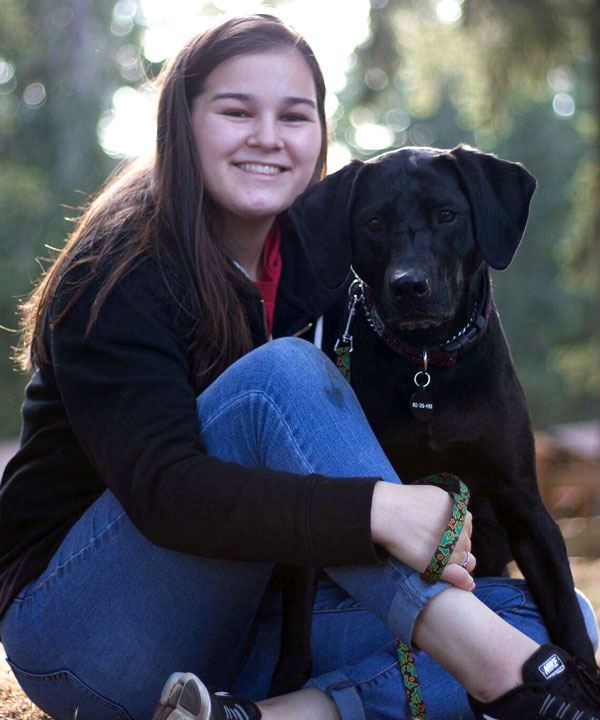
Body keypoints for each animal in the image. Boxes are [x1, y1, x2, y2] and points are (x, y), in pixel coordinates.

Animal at [270, 143, 596, 696]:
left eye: (447, 215)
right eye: (374, 222)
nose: (409, 287)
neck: (426, 364)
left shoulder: (523, 504)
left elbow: (568, 616)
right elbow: (294, 634)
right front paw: (285, 685)